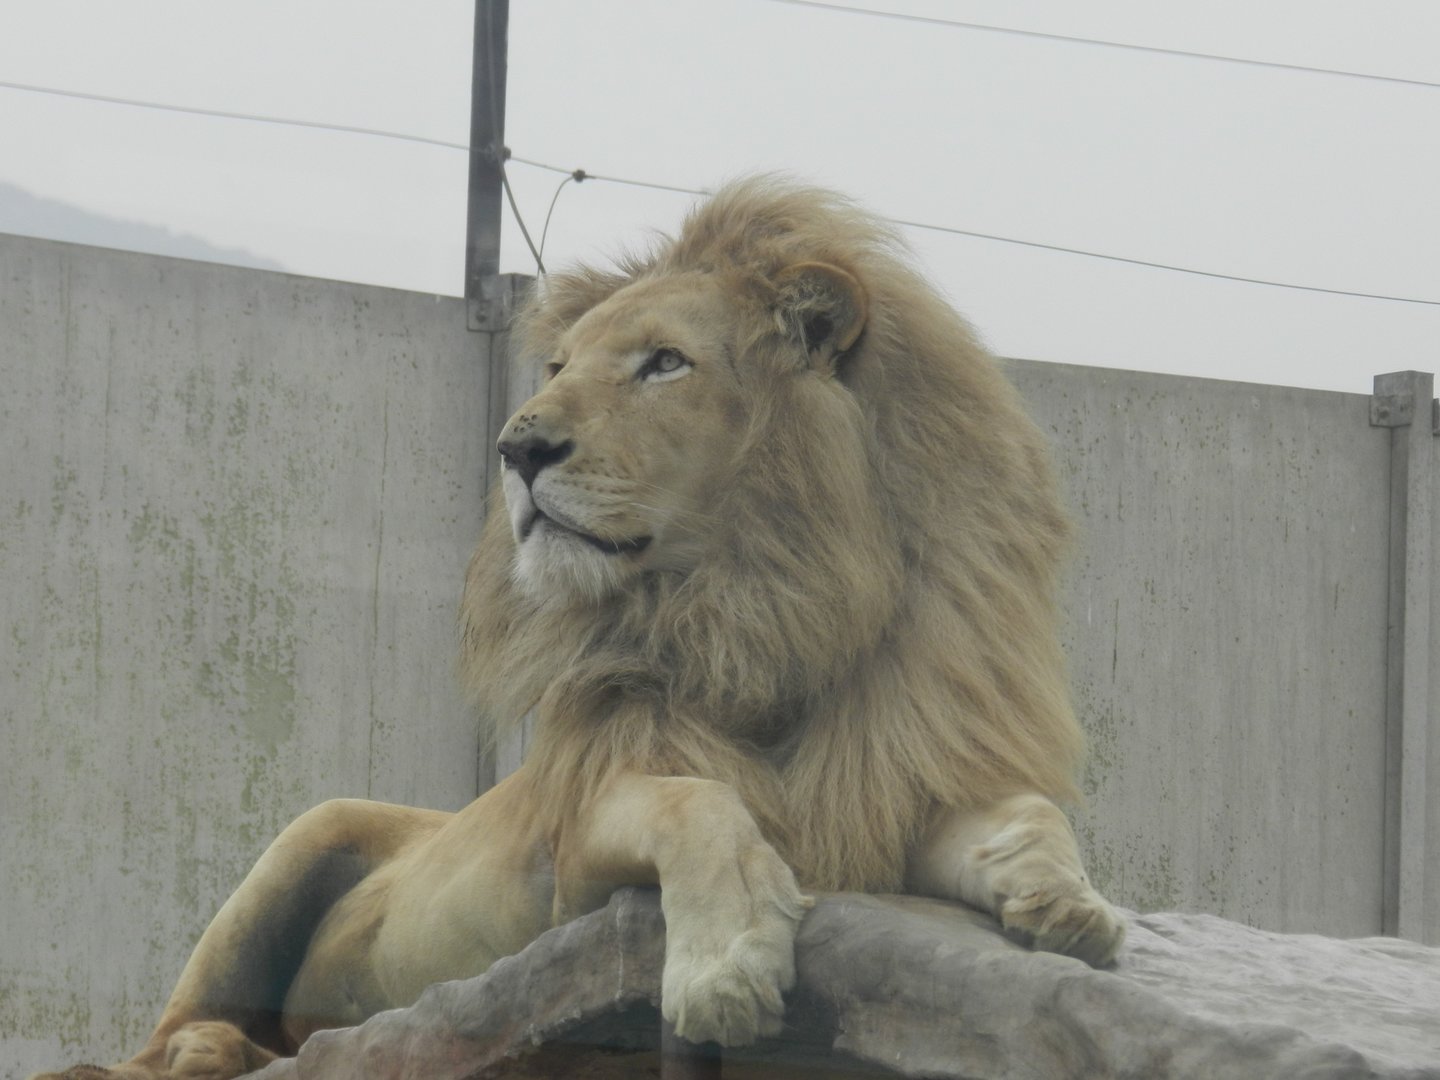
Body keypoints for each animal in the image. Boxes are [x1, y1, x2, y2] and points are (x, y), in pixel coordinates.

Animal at [34, 178, 1123, 1080]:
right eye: (557, 366)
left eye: (664, 364)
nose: (518, 446)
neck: (760, 613)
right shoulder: (573, 862)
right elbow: (692, 801)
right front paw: (724, 968)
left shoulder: (881, 797)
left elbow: (1029, 813)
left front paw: (1069, 905)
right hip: (304, 836)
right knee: (148, 1043)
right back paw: (208, 1052)